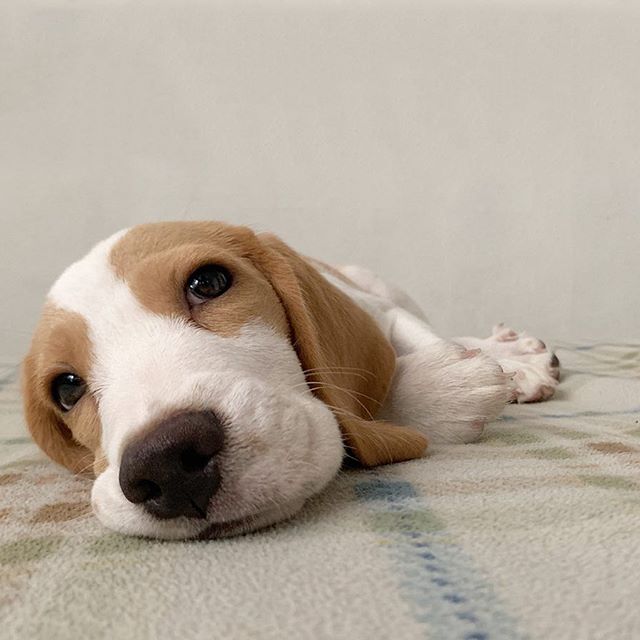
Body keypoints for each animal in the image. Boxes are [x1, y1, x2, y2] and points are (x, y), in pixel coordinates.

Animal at [21, 222, 560, 536]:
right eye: (66, 387)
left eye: (207, 282)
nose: (167, 463)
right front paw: (449, 389)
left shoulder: (379, 308)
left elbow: (410, 346)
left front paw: (469, 377)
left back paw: (516, 357)